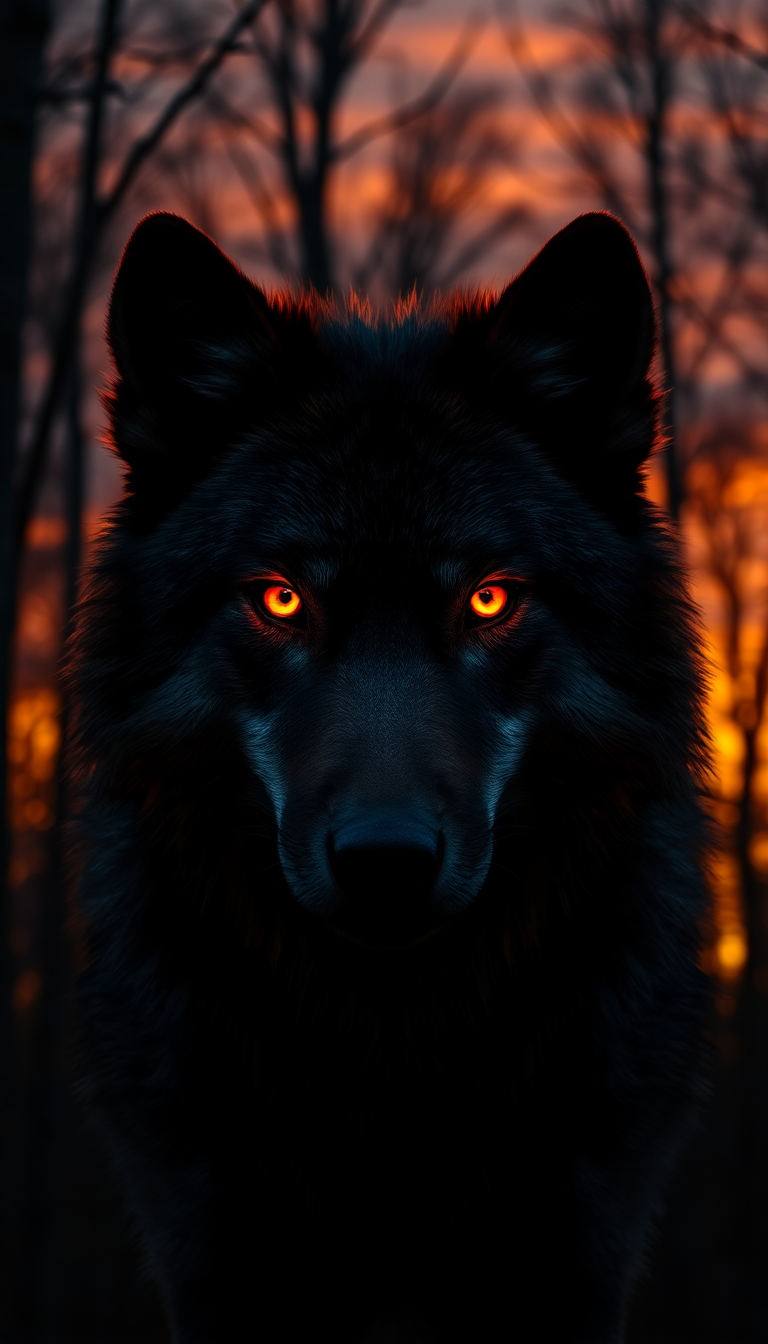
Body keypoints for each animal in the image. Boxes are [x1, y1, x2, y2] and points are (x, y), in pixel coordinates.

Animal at [70, 210, 710, 1343]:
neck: (391, 1038)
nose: (384, 860)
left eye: (490, 599)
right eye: (280, 600)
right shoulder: (215, 1244)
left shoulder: (576, 1240)